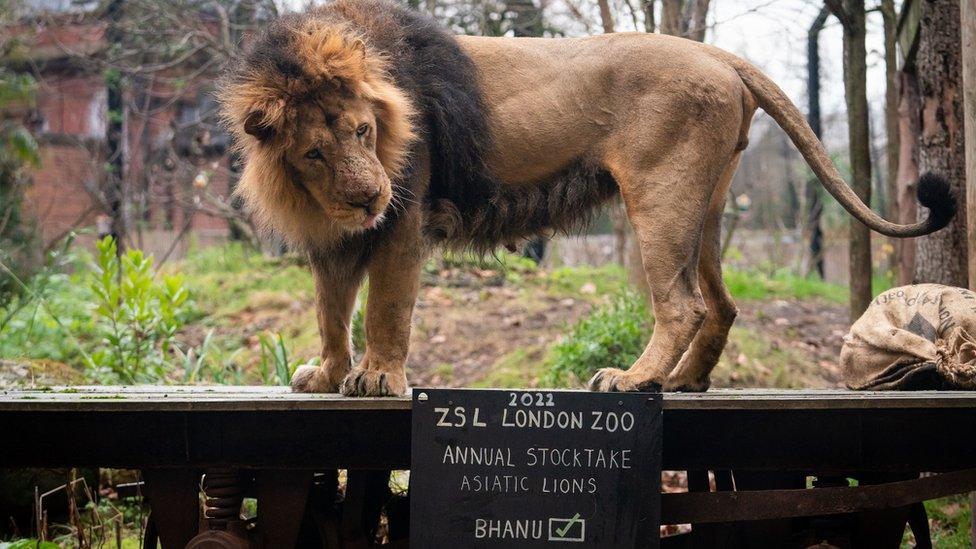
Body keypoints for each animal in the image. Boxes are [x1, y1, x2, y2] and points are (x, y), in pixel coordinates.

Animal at [215, 0, 952, 396]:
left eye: (365, 130)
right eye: (315, 151)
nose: (370, 194)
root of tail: (719, 56)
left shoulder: (405, 214)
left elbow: (384, 309)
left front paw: (376, 377)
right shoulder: (334, 235)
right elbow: (330, 311)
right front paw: (326, 373)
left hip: (661, 197)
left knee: (681, 305)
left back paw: (632, 379)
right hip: (706, 208)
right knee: (720, 303)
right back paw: (681, 381)